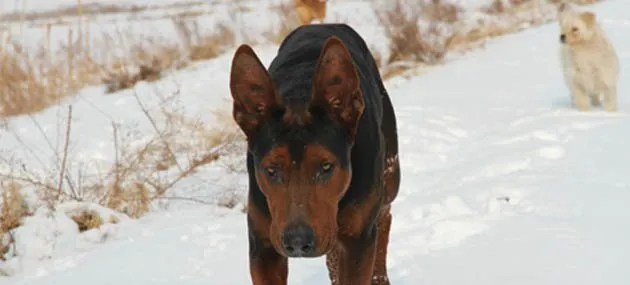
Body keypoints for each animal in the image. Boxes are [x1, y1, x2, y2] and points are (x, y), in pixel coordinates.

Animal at [230, 23, 402, 282]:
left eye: (326, 166)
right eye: (271, 170)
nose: (297, 241)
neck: (299, 95)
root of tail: (322, 24)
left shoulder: (358, 240)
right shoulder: (263, 245)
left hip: (389, 178)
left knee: (384, 216)